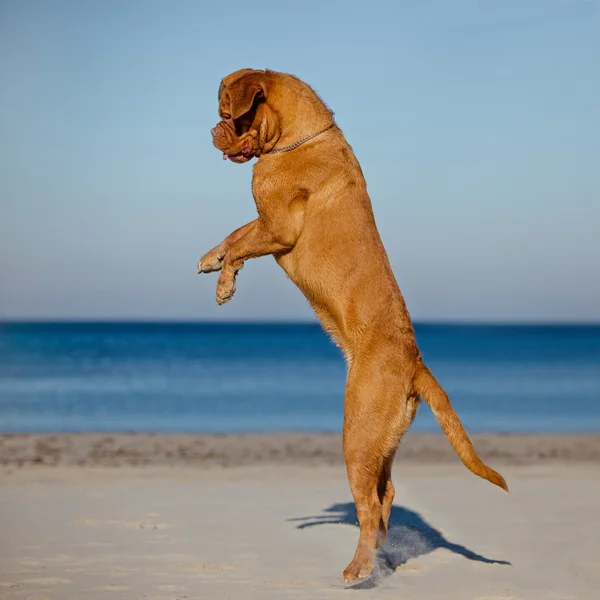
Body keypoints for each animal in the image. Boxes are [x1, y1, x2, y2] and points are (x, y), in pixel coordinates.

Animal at [198, 68, 506, 584]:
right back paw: (380, 552)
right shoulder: (265, 222)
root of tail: (415, 363)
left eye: (228, 114)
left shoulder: (278, 227)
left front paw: (225, 281)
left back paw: (360, 566)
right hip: (382, 442)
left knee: (368, 504)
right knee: (386, 494)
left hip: (358, 437)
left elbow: (244, 240)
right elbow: (235, 233)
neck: (297, 137)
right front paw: (212, 259)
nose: (210, 130)